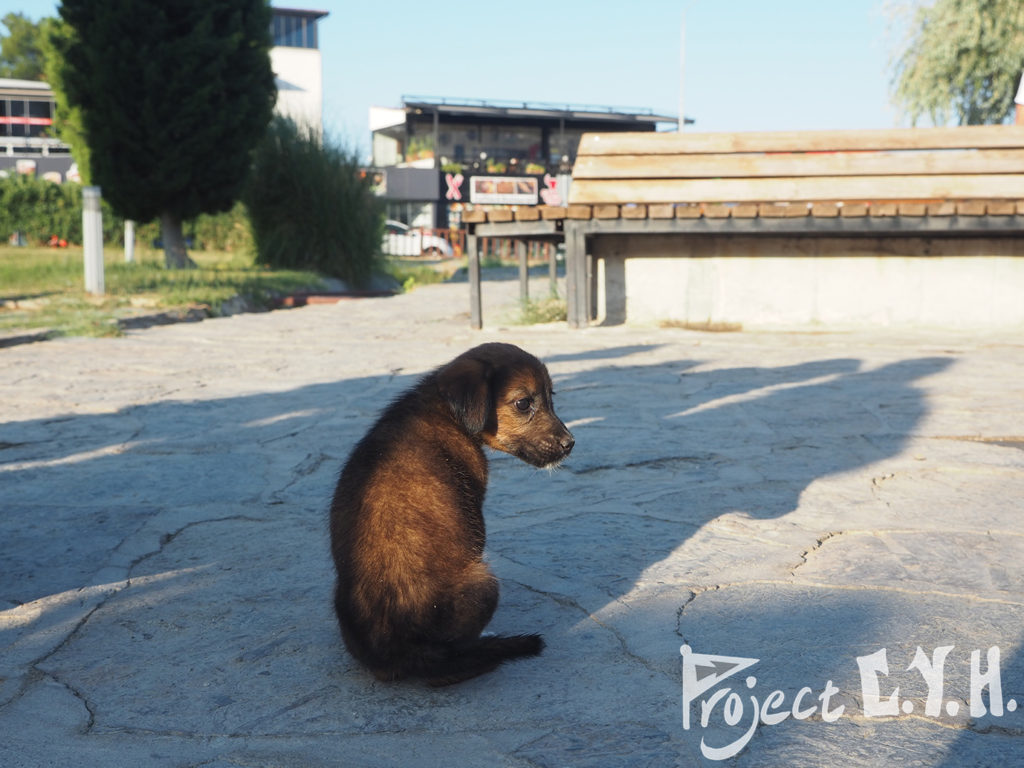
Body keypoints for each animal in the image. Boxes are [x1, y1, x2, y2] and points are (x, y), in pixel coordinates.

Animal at [329, 342, 577, 684]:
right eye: (523, 403)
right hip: (485, 584)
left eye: (552, 397)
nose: (570, 444)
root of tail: (405, 654)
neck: (445, 410)